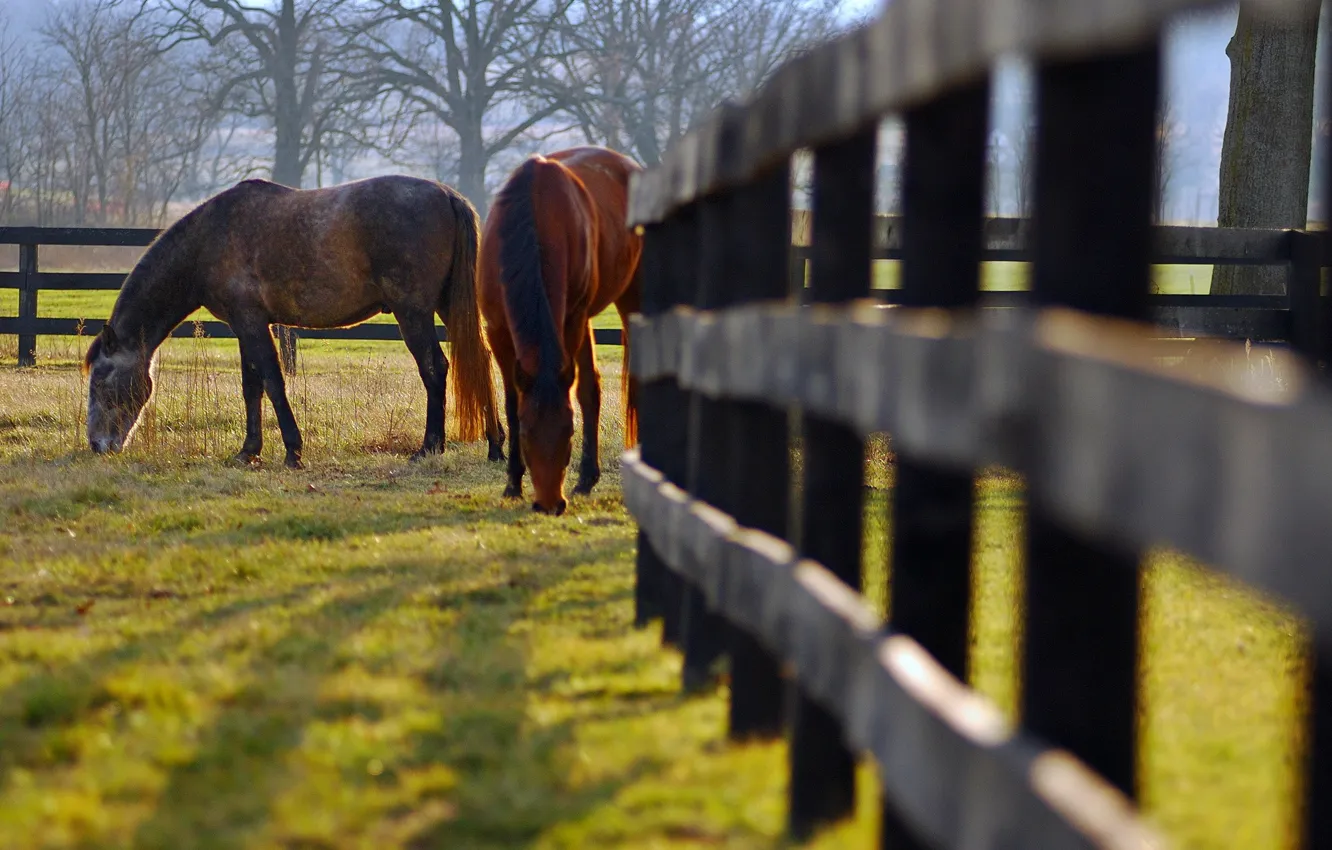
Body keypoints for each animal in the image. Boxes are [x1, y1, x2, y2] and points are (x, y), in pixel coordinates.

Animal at [81, 175, 503, 468]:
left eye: (100, 380)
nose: (97, 446)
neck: (209, 239)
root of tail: (446, 195)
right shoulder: (244, 325)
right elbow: (251, 386)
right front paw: (248, 451)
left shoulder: (252, 323)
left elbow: (272, 380)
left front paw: (292, 451)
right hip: (447, 306)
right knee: (479, 361)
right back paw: (495, 444)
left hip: (412, 312)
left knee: (435, 368)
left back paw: (430, 446)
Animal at [479, 146, 644, 516]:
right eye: (527, 433)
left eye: (569, 431)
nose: (550, 504)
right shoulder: (497, 331)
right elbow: (511, 401)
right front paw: (512, 483)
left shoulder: (570, 320)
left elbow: (578, 393)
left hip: (627, 299)